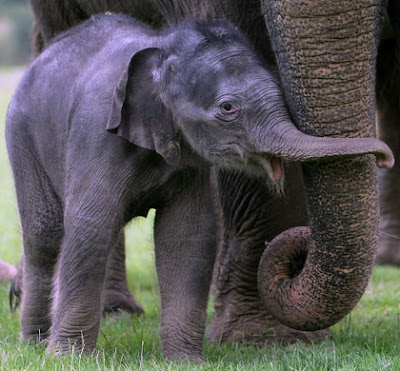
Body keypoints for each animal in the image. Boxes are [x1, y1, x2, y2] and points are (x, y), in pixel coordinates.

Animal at [6, 13, 392, 360]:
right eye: (228, 108)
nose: (385, 158)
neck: (161, 53)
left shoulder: (189, 164)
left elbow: (188, 236)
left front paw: (185, 362)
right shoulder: (96, 134)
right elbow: (90, 226)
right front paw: (68, 359)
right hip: (21, 136)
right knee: (46, 235)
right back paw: (35, 342)